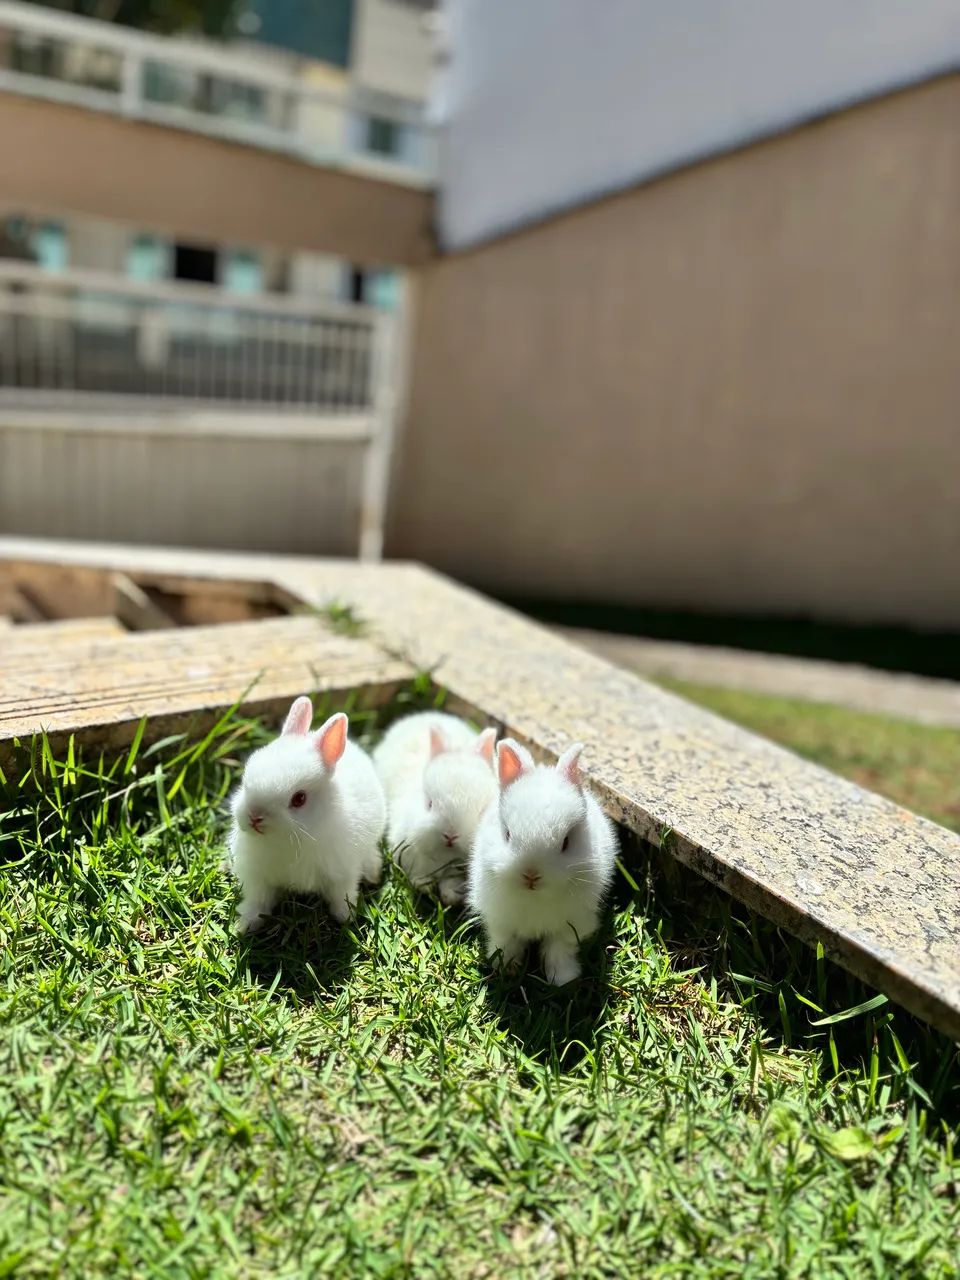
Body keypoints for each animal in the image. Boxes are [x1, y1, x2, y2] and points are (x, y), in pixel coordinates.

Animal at [228, 695, 386, 933]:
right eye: (245, 783)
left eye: (299, 799)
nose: (255, 817)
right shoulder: (258, 878)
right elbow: (258, 901)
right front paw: (245, 924)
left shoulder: (343, 873)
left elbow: (342, 894)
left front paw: (345, 917)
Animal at [373, 711, 497, 905]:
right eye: (429, 803)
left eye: (481, 811)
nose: (450, 835)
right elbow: (418, 875)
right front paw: (425, 886)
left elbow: (451, 882)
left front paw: (450, 897)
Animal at [467, 739, 618, 985]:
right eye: (507, 834)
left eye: (566, 842)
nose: (531, 875)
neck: (534, 897)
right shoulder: (501, 922)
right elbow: (506, 943)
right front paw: (506, 968)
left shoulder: (569, 927)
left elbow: (559, 950)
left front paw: (563, 979)